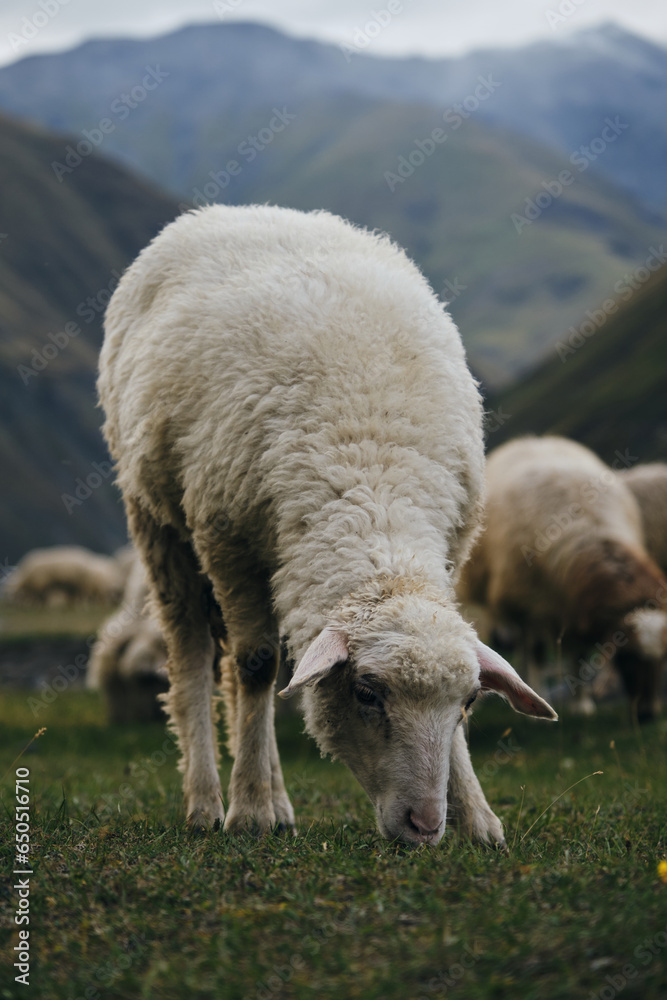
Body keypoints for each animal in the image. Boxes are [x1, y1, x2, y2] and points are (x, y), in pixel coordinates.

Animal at [98, 204, 556, 846]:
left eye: (467, 703)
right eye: (366, 693)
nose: (424, 825)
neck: (374, 481)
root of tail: (234, 209)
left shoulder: (455, 547)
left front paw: (478, 817)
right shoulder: (227, 540)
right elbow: (258, 665)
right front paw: (248, 811)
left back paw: (277, 801)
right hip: (159, 521)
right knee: (195, 656)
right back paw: (207, 802)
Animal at [458, 436, 667, 720]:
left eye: (663, 660)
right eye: (627, 658)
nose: (648, 715)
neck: (589, 533)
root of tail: (537, 439)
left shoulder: (574, 608)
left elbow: (578, 657)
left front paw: (582, 704)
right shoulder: (532, 606)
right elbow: (545, 651)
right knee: (527, 646)